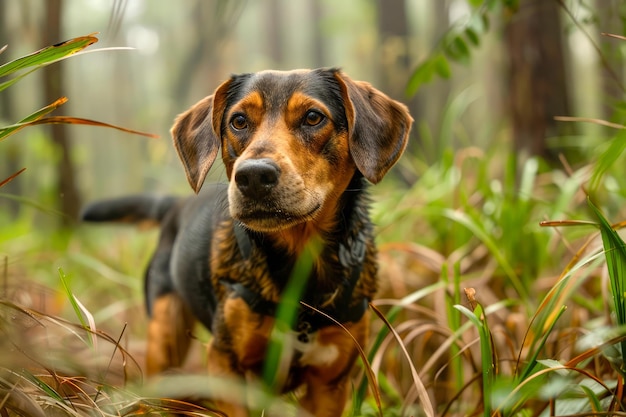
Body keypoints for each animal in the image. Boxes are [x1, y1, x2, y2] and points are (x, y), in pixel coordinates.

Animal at [83, 66, 412, 414]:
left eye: (313, 117)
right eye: (238, 121)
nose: (253, 176)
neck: (298, 264)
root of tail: (174, 205)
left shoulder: (330, 384)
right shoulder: (226, 364)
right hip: (164, 336)